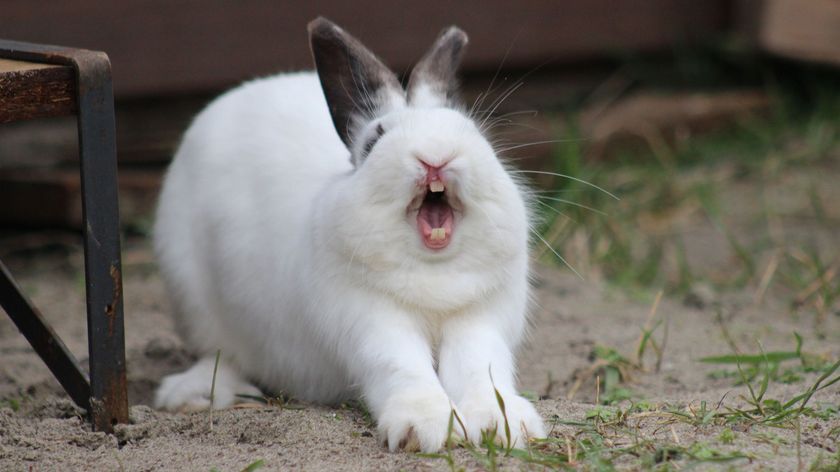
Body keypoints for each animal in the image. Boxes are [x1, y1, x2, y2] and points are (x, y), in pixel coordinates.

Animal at [153, 16, 544, 452]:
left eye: (473, 132)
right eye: (375, 140)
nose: (435, 156)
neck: (433, 271)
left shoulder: (479, 319)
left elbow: (481, 367)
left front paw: (502, 425)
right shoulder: (370, 323)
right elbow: (402, 367)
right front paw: (423, 428)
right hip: (192, 296)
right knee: (219, 354)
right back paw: (194, 395)